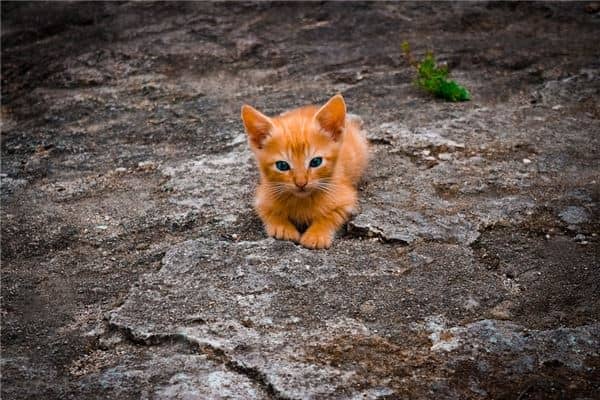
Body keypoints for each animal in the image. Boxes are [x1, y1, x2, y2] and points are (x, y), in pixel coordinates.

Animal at [241, 95, 368, 248]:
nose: (301, 183)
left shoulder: (345, 198)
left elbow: (331, 215)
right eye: (282, 165)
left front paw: (316, 235)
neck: (302, 200)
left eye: (316, 162)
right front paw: (282, 228)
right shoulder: (262, 197)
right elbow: (269, 212)